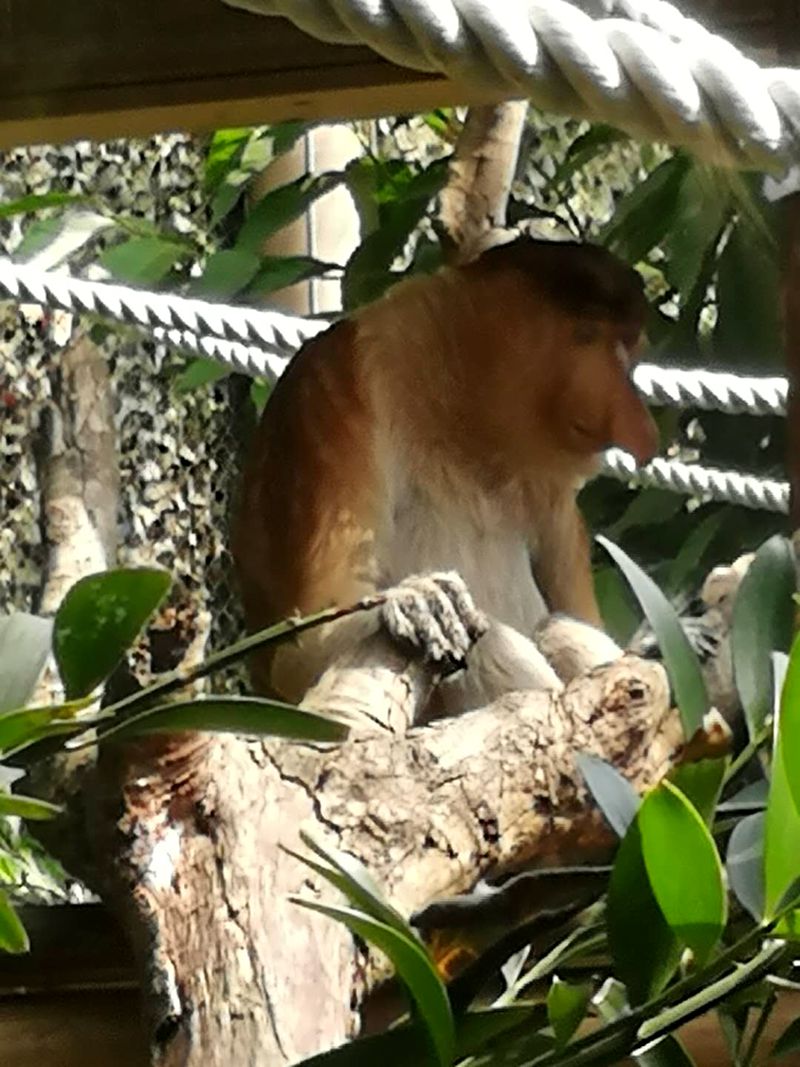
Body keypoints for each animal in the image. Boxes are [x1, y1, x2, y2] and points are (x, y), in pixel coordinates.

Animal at [231, 240, 657, 717]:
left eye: (629, 349)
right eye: (586, 336)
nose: (638, 424)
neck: (464, 424)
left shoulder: (558, 505)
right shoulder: (338, 383)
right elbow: (302, 654)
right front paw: (418, 603)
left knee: (559, 629)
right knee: (490, 641)